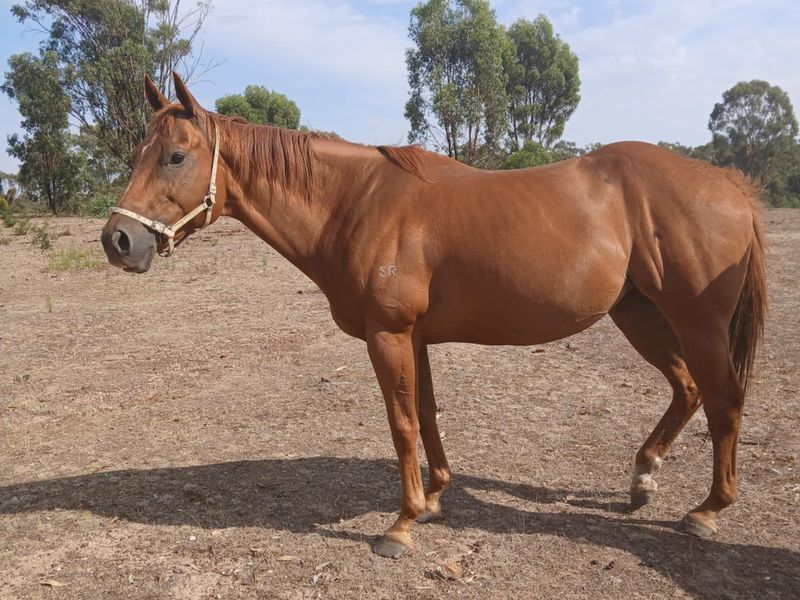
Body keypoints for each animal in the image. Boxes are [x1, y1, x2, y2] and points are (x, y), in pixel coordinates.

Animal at [101, 72, 766, 559]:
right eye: (139, 152)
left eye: (176, 156)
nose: (118, 241)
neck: (358, 203)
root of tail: (730, 182)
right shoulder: (413, 338)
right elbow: (425, 413)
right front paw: (436, 498)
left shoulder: (388, 336)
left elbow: (400, 424)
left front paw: (400, 525)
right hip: (641, 316)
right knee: (688, 389)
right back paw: (643, 478)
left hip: (696, 323)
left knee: (724, 400)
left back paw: (707, 512)